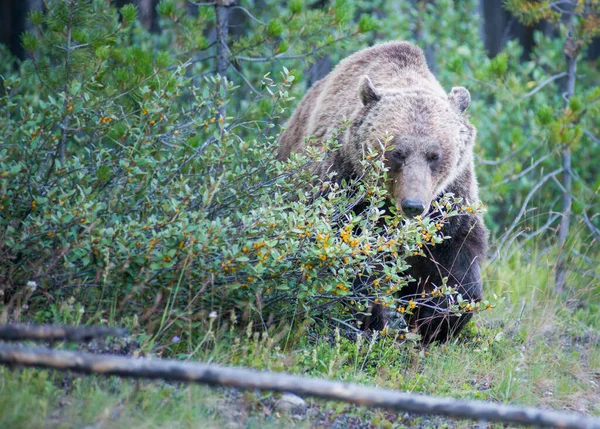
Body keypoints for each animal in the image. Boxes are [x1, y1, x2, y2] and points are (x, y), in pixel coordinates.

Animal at [278, 41, 490, 342]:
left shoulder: (449, 197)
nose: (413, 205)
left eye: (434, 155)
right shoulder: (344, 183)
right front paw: (370, 320)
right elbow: (350, 257)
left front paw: (438, 320)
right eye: (397, 152)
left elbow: (454, 255)